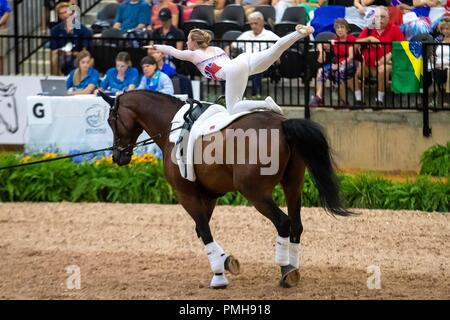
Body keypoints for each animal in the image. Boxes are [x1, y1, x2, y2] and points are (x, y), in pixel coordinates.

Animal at [101, 90, 352, 290]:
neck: (171, 126)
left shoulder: (186, 195)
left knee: (283, 222)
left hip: (255, 193)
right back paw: (292, 269)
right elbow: (200, 230)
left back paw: (285, 270)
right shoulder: (208, 196)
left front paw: (220, 274)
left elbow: (203, 230)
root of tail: (282, 124)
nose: (117, 156)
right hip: (293, 184)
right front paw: (223, 263)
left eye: (111, 120)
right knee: (297, 225)